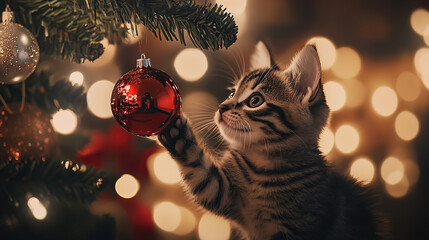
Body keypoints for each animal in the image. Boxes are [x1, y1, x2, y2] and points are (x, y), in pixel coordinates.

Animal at [158, 42, 382, 239]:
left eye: (255, 100)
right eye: (232, 93)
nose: (221, 107)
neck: (261, 163)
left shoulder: (297, 227)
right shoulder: (220, 191)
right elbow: (198, 171)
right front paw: (176, 133)